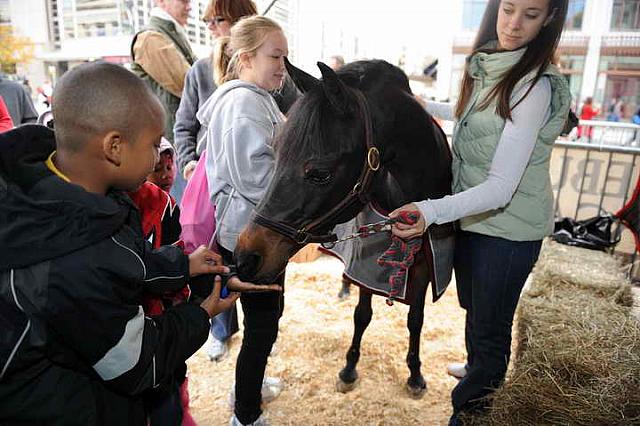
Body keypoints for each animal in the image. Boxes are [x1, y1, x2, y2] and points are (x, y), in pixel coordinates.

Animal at [238, 58, 452, 398]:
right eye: (275, 153)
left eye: (320, 173)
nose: (246, 256)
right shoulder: (365, 261)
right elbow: (362, 315)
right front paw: (349, 368)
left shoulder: (423, 267)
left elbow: (415, 320)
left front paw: (415, 374)